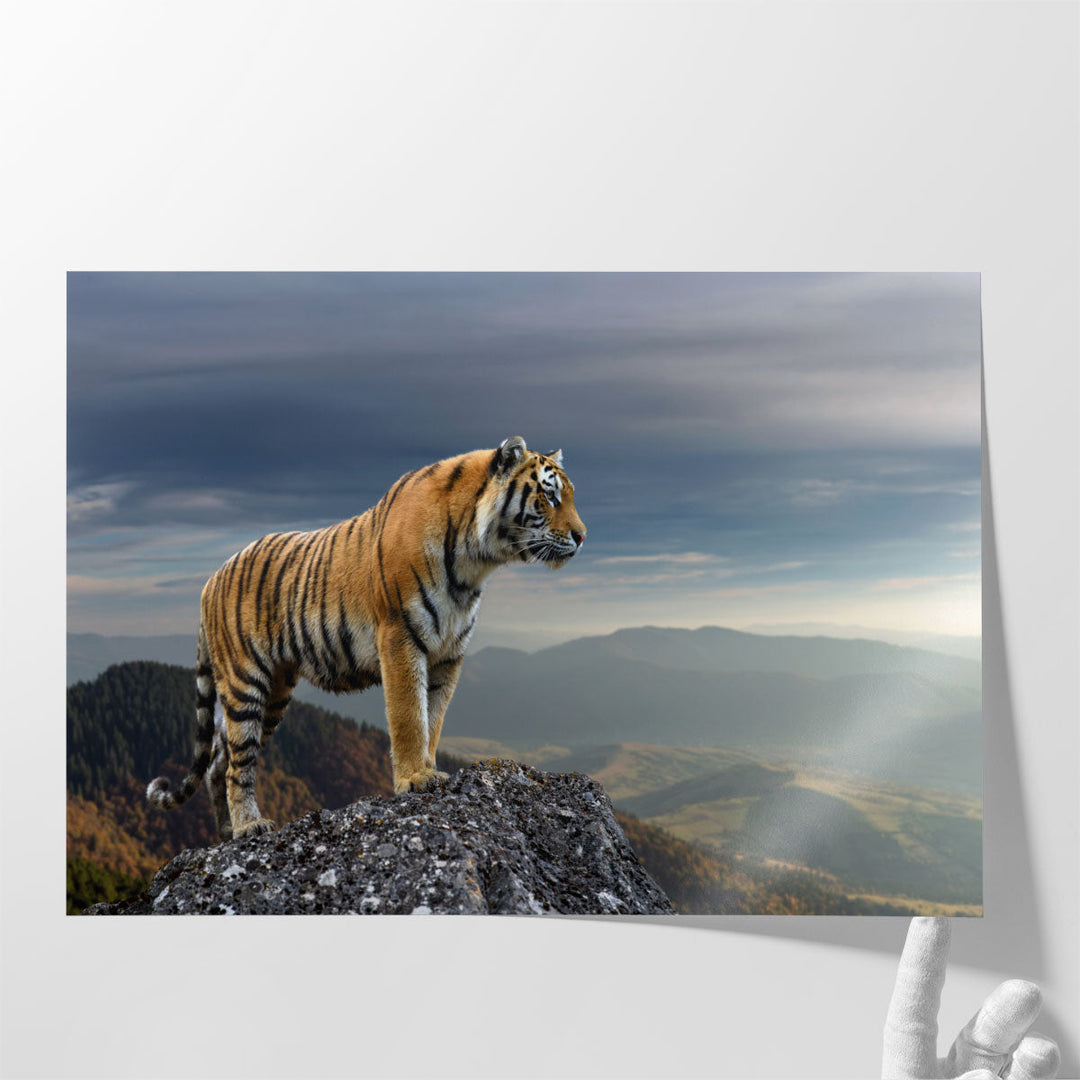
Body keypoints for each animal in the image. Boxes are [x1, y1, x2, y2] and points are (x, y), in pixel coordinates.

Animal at [146, 436, 586, 841]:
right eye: (549, 496)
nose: (582, 536)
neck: (474, 563)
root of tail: (209, 580)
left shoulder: (449, 654)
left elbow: (434, 718)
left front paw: (429, 769)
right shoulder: (400, 638)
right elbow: (409, 716)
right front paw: (415, 779)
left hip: (275, 692)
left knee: (218, 762)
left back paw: (225, 833)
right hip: (245, 682)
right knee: (238, 764)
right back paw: (249, 826)